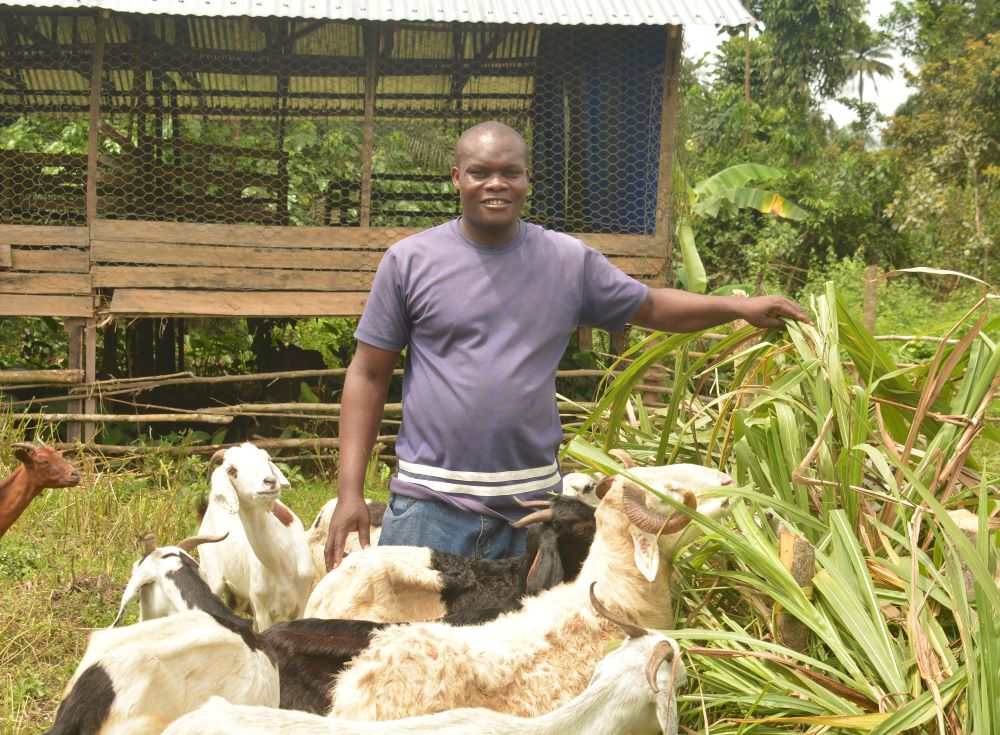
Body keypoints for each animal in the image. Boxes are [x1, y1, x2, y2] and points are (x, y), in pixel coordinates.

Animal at [197, 442, 314, 632]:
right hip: (213, 579)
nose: (270, 482)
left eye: (267, 459)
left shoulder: (301, 603)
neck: (281, 563)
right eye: (232, 470)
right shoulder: (262, 609)